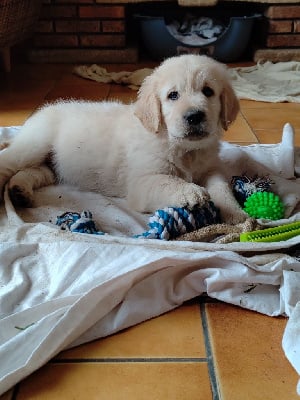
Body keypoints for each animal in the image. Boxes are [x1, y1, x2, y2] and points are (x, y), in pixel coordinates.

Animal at [0, 54, 247, 223]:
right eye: (173, 95)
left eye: (208, 92)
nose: (195, 116)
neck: (184, 149)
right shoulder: (142, 182)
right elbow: (168, 181)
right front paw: (191, 191)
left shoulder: (211, 168)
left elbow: (221, 186)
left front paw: (235, 212)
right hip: (33, 146)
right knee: (9, 162)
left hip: (51, 166)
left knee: (33, 172)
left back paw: (20, 192)